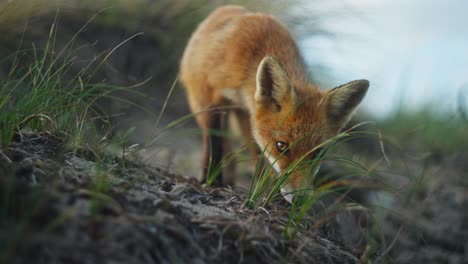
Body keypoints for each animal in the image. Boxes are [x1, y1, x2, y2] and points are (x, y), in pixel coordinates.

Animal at [181, 4, 368, 202]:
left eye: (318, 153)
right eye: (281, 146)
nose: (300, 200)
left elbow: (259, 158)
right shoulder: (213, 94)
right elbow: (213, 141)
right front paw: (210, 179)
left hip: (245, 119)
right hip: (200, 101)